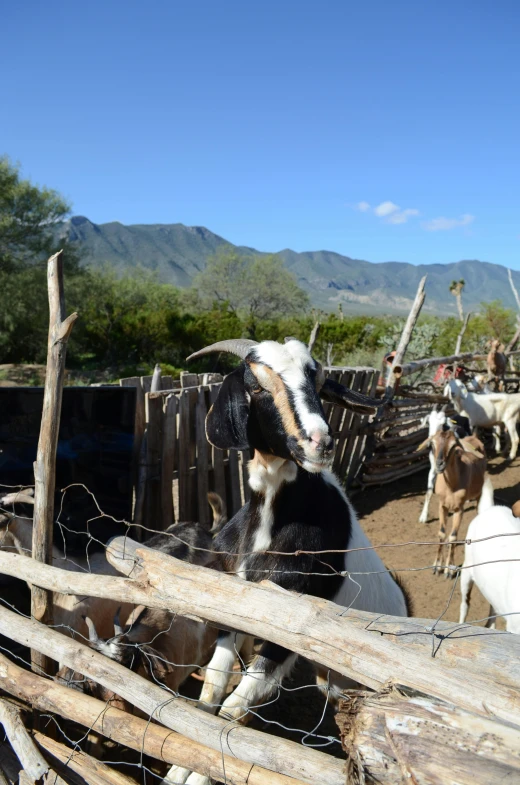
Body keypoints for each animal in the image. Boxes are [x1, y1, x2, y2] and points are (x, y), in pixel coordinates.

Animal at [171, 336, 410, 784]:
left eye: (317, 383)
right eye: (257, 386)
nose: (320, 443)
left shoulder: (288, 628)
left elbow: (233, 707)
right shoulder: (234, 605)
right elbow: (213, 686)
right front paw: (178, 766)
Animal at [418, 428, 492, 576]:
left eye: (453, 446)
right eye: (432, 444)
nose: (439, 464)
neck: (451, 486)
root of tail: (474, 436)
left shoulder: (459, 509)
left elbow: (453, 536)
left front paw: (449, 569)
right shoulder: (442, 506)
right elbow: (441, 533)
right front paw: (437, 566)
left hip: (478, 493)